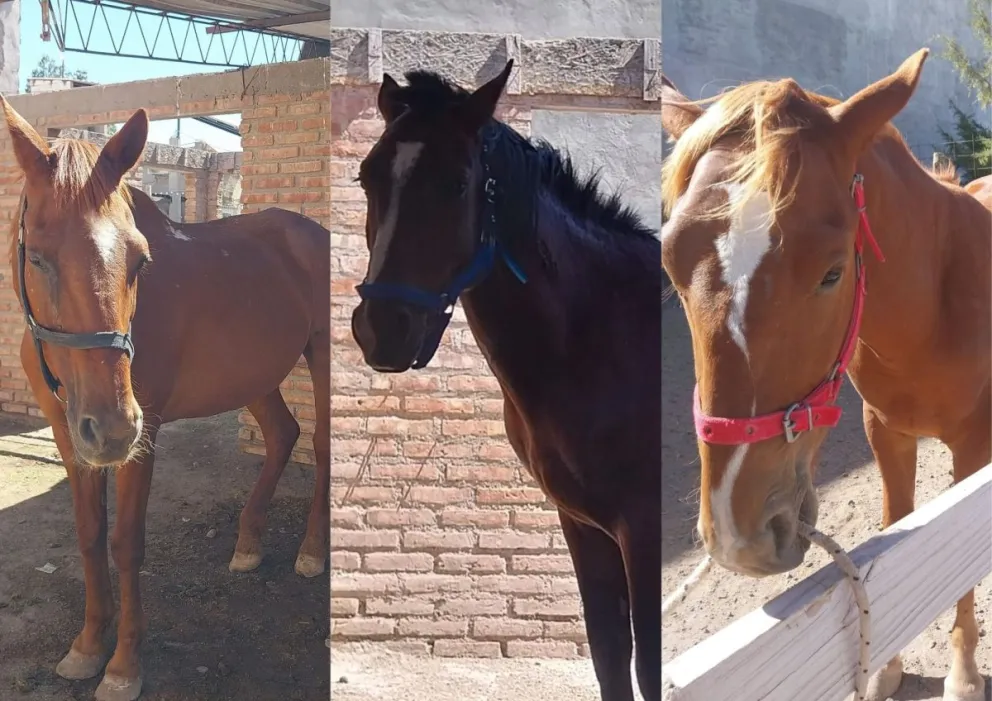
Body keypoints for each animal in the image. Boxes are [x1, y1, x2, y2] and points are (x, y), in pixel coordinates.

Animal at [0, 99, 330, 701]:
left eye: (139, 260)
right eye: (36, 258)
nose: (113, 428)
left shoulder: (143, 436)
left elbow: (126, 543)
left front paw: (123, 665)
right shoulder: (69, 434)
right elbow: (89, 534)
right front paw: (88, 645)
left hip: (322, 356)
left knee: (318, 444)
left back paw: (312, 550)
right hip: (253, 373)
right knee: (282, 435)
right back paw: (248, 541)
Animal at [348, 62, 663, 701]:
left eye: (457, 183)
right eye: (368, 178)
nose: (382, 329)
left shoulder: (645, 533)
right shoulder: (586, 528)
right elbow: (611, 657)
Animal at [660, 49, 989, 701]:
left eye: (833, 272)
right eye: (670, 265)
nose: (740, 537)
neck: (937, 305)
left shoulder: (973, 446)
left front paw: (964, 674)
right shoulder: (886, 433)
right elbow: (900, 531)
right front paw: (887, 665)